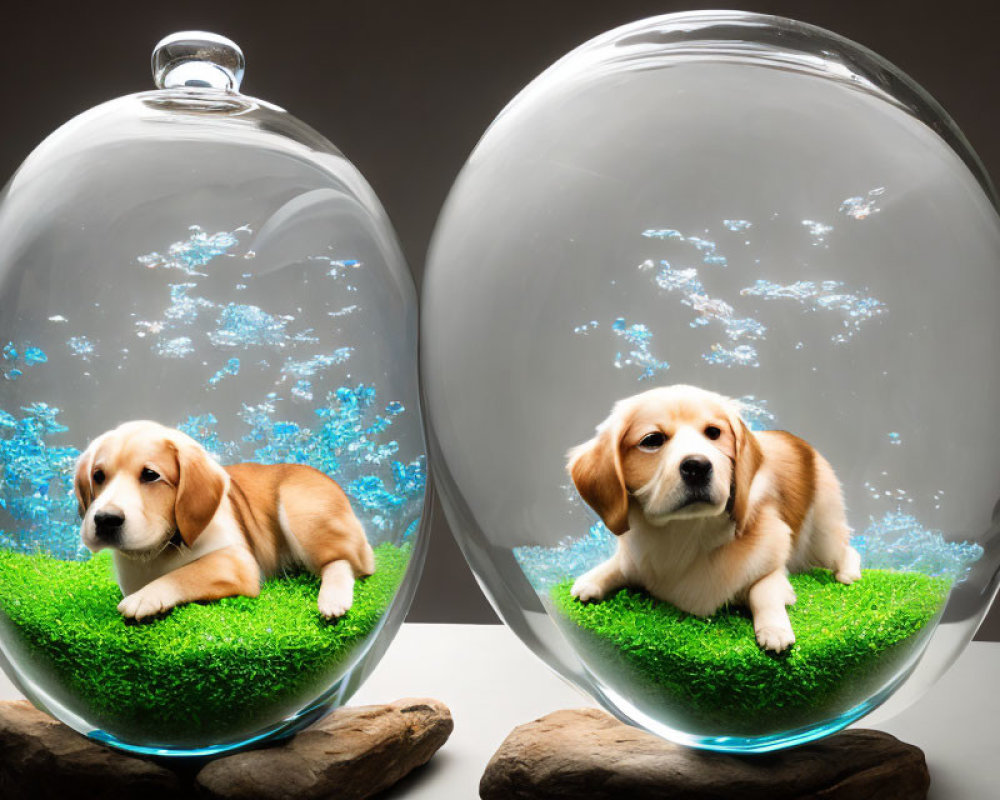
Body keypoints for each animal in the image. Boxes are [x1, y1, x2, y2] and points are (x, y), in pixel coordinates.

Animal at [75, 422, 376, 620]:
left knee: (345, 562)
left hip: (300, 508)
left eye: (150, 475)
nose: (105, 519)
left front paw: (145, 598)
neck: (160, 550)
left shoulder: (236, 562)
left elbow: (186, 574)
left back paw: (333, 599)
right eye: (98, 476)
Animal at [568, 384, 864, 652]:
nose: (697, 466)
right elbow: (617, 566)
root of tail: (797, 440)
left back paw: (848, 572)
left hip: (823, 536)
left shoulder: (772, 564)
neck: (685, 532)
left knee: (847, 550)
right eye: (652, 440)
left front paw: (774, 629)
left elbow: (762, 590)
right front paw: (591, 580)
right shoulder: (636, 560)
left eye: (713, 433)